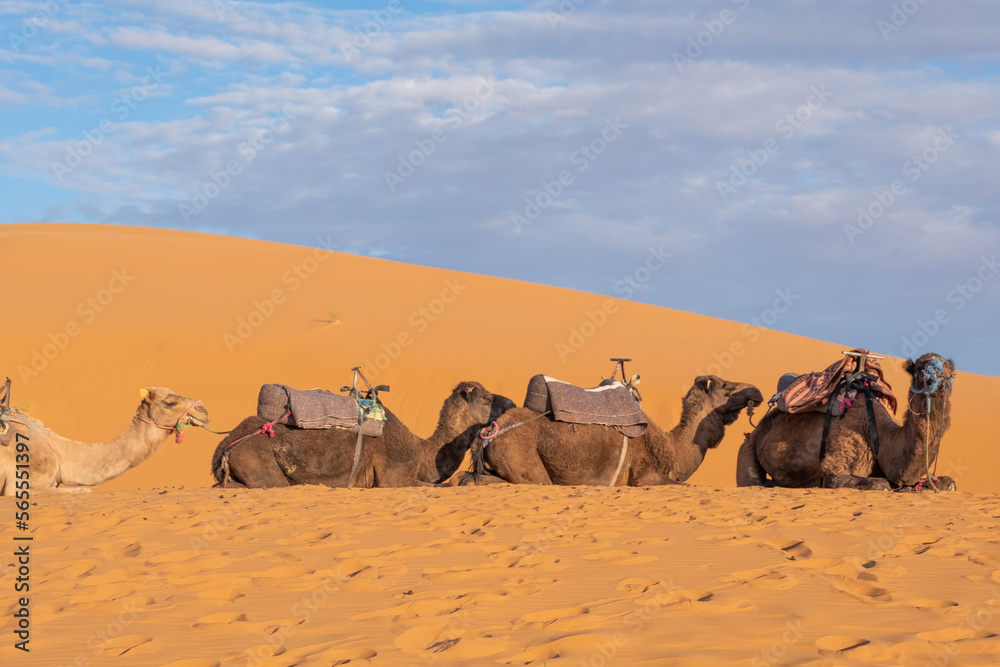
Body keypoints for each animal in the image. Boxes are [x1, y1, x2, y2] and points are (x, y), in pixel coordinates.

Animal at [212, 381, 513, 489]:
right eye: (487, 397)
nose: (511, 403)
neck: (421, 453)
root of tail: (224, 445)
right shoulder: (393, 477)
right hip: (257, 460)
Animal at [471, 375, 763, 486]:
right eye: (726, 386)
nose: (757, 392)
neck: (673, 449)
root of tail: (488, 434)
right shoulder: (645, 477)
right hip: (527, 466)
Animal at [736, 353, 956, 491]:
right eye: (919, 369)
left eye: (948, 369)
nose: (936, 382)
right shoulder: (834, 469)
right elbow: (881, 484)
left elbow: (949, 483)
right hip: (747, 449)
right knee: (752, 480)